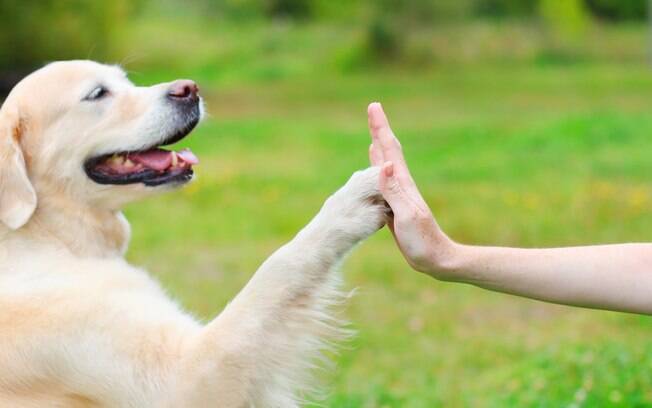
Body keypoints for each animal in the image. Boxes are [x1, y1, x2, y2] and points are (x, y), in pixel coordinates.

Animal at [0, 61, 388, 408]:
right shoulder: (183, 377)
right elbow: (278, 268)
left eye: (126, 80)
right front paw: (351, 202)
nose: (189, 89)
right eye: (97, 93)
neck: (50, 237)